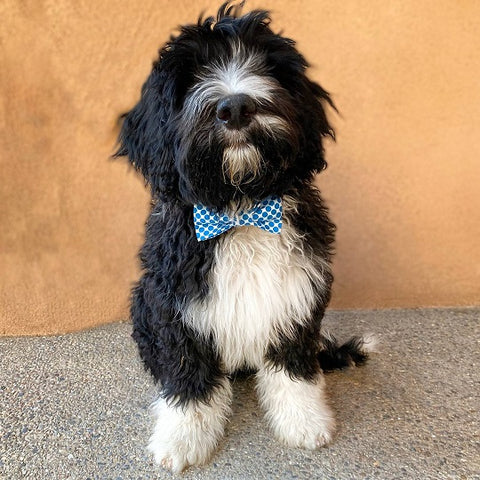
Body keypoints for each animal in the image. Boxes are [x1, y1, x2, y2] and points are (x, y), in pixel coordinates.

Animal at [116, 2, 376, 472]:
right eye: (191, 76)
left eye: (267, 66)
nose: (235, 107)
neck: (242, 207)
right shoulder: (175, 304)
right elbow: (188, 372)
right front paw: (181, 438)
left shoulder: (297, 293)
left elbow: (293, 365)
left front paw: (304, 421)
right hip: (142, 300)